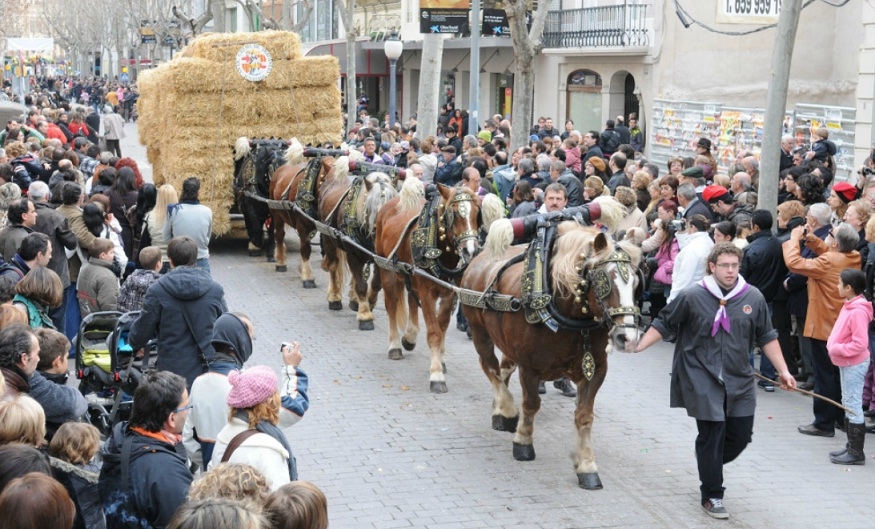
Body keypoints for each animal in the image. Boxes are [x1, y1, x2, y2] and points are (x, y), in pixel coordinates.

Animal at [372, 178, 504, 392]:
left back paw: (410, 337)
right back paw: (395, 346)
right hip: (387, 269)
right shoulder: (427, 293)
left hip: (411, 274)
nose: (470, 251)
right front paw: (436, 375)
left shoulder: (449, 294)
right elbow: (434, 332)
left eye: (477, 213)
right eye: (454, 214)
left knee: (411, 298)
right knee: (391, 305)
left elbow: (442, 327)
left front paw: (440, 361)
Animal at [458, 212, 644, 488]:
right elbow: (531, 404)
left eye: (635, 282)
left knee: (502, 370)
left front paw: (586, 465)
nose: (627, 337)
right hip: (479, 332)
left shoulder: (596, 370)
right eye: (605, 281)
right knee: (490, 369)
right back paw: (506, 409)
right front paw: (523, 442)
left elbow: (584, 415)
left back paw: (499, 410)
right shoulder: (530, 368)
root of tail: (480, 257)